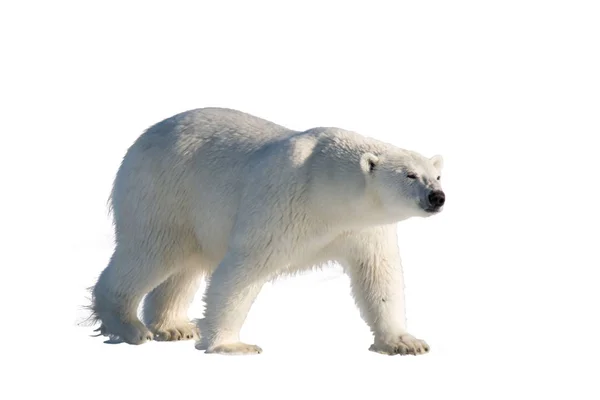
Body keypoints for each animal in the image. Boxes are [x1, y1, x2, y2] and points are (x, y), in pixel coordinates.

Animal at [89, 107, 446, 356]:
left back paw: (174, 327)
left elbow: (378, 276)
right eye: (409, 174)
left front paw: (405, 342)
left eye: (436, 175)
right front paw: (232, 345)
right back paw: (130, 327)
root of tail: (142, 138)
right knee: (150, 252)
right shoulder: (282, 204)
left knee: (183, 268)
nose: (437, 197)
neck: (329, 188)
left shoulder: (363, 228)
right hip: (163, 193)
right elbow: (242, 269)